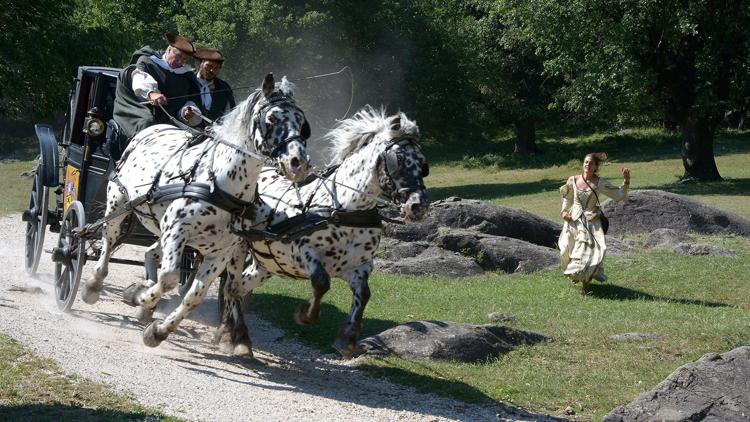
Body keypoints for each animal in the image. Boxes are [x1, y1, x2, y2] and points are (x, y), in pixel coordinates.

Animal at [83, 74, 312, 352]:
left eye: (301, 121)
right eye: (272, 119)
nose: (299, 163)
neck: (220, 183)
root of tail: (153, 128)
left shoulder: (220, 252)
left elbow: (194, 295)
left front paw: (158, 330)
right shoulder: (177, 230)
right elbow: (169, 278)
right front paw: (140, 296)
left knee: (150, 253)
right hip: (118, 202)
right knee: (108, 239)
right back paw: (94, 284)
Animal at [216, 107, 428, 358]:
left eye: (423, 163)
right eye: (399, 160)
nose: (419, 206)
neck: (344, 208)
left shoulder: (359, 267)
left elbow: (364, 295)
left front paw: (347, 338)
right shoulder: (301, 252)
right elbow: (321, 282)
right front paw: (305, 315)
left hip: (266, 265)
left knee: (238, 289)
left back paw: (228, 332)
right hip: (237, 248)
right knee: (231, 288)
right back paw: (236, 338)